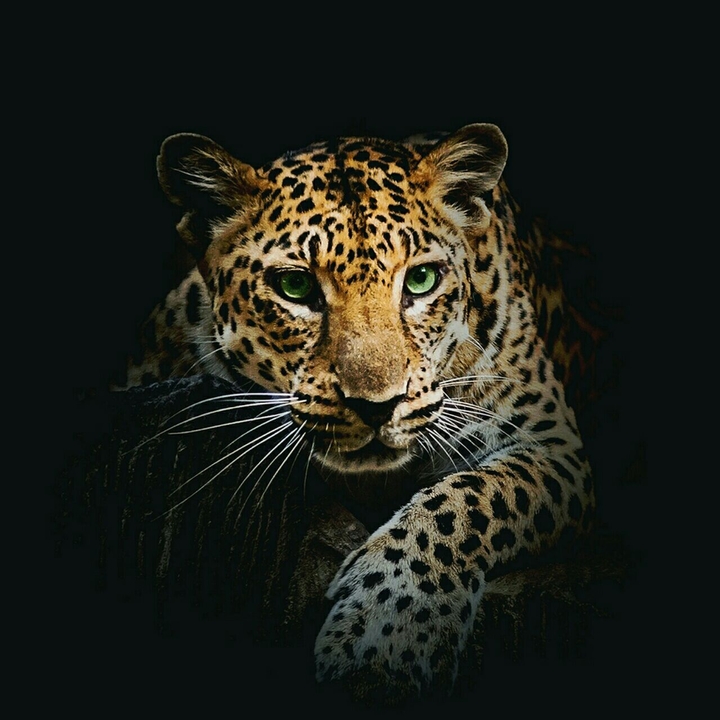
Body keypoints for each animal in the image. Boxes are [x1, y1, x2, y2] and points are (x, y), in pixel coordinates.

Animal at [114, 123, 599, 699]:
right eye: (295, 286)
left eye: (421, 280)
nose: (377, 406)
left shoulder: (554, 445)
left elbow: (470, 500)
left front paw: (386, 634)